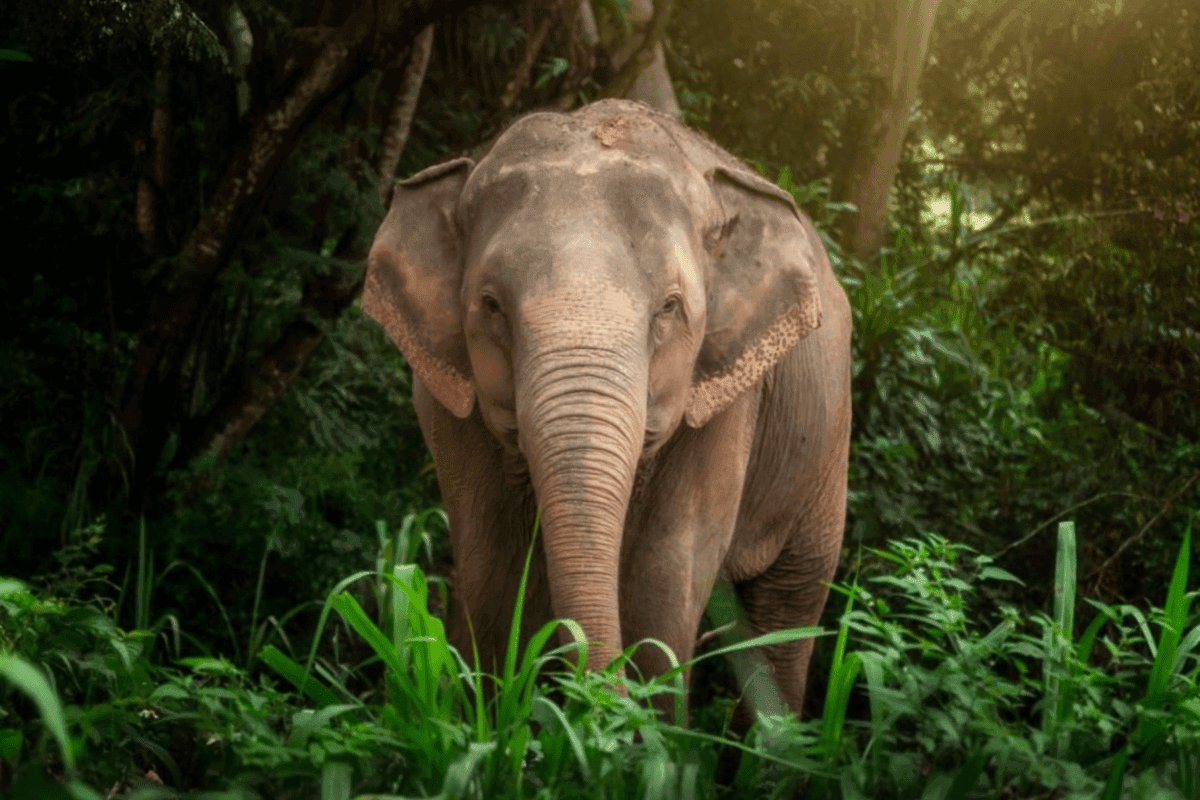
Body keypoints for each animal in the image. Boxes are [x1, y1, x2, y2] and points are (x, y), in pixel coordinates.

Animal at [363, 98, 851, 720]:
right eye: (492, 306)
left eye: (670, 308)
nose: (597, 699)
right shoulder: (447, 399)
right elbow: (488, 571)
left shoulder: (727, 404)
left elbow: (661, 582)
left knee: (788, 607)